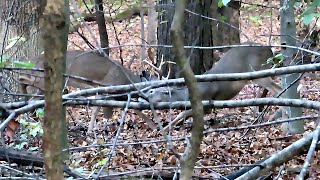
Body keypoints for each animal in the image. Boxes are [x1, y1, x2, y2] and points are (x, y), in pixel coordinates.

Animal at [14, 50, 158, 137]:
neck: (126, 81)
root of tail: (34, 59)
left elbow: (135, 110)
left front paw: (153, 126)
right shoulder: (103, 89)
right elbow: (96, 110)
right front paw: (90, 131)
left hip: (43, 85)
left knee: (30, 94)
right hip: (43, 79)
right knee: (24, 81)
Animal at [146, 43, 282, 131]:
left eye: (152, 91)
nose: (146, 98)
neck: (187, 95)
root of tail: (270, 50)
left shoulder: (206, 104)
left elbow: (182, 114)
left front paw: (163, 129)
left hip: (257, 71)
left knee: (278, 89)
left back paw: (274, 117)